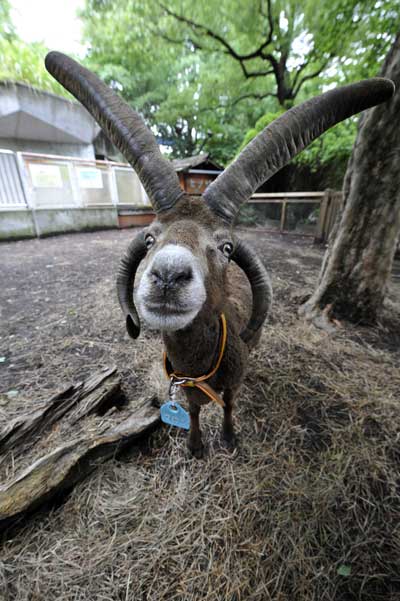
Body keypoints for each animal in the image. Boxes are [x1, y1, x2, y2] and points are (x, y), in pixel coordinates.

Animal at [45, 52, 392, 454]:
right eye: (149, 239)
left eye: (226, 247)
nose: (168, 276)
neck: (198, 364)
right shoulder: (187, 386)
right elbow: (194, 409)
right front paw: (195, 445)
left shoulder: (232, 380)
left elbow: (228, 404)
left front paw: (228, 438)